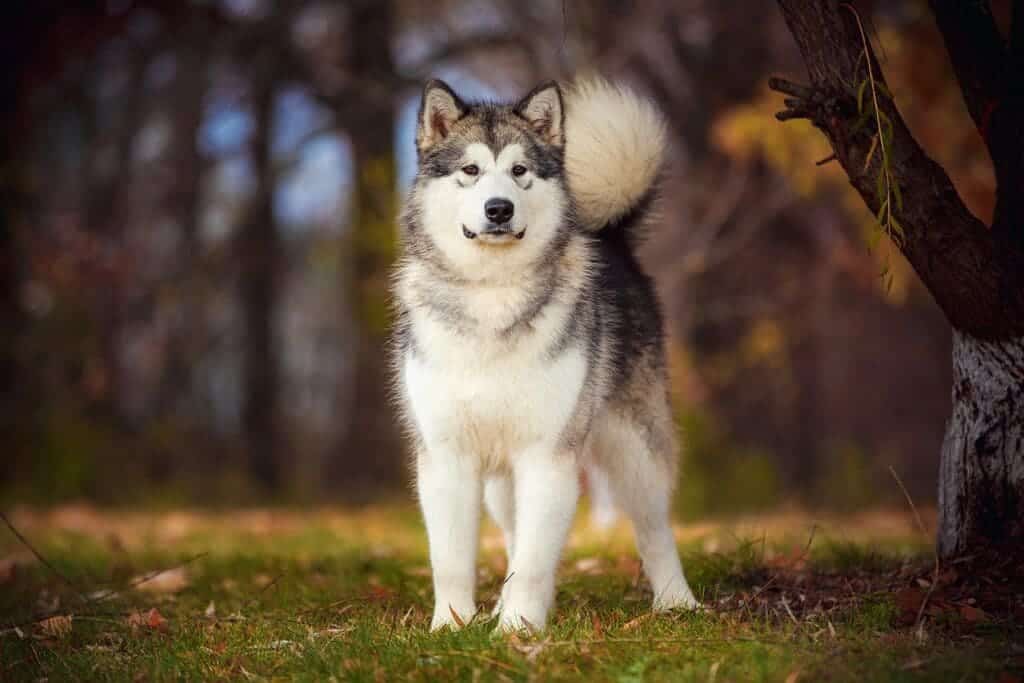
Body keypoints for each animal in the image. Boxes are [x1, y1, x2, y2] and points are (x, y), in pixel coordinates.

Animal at [389, 77, 696, 634]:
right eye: (470, 170)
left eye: (519, 171)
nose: (499, 209)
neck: (492, 295)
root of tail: (611, 236)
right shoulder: (446, 457)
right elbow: (452, 559)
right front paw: (452, 626)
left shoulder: (548, 455)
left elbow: (534, 559)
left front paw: (518, 629)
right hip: (500, 479)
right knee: (515, 532)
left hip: (633, 447)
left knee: (654, 528)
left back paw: (677, 601)